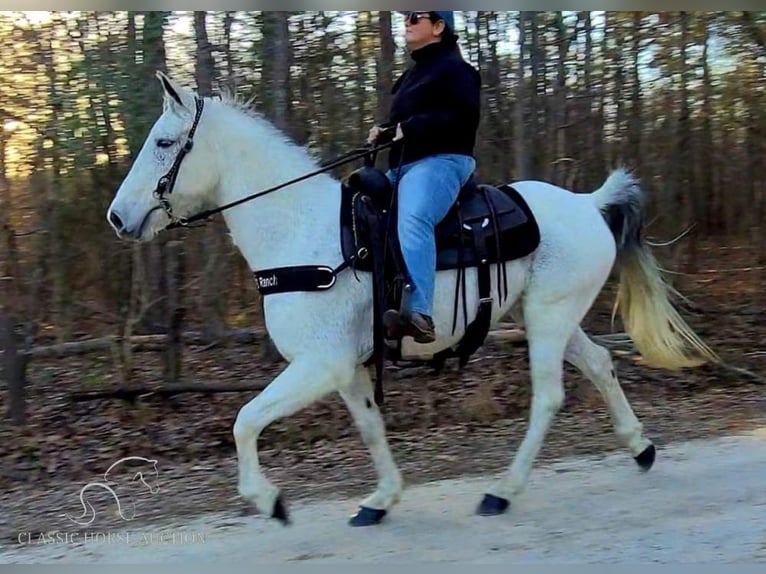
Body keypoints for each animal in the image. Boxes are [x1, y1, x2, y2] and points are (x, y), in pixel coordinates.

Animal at [105, 73, 716, 532]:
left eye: (163, 142)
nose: (116, 217)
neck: (303, 232)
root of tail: (589, 204)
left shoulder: (319, 364)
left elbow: (245, 420)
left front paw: (270, 501)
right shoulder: (347, 369)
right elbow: (371, 428)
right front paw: (381, 500)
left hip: (548, 319)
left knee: (548, 396)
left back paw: (502, 491)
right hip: (549, 316)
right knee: (601, 363)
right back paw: (639, 447)